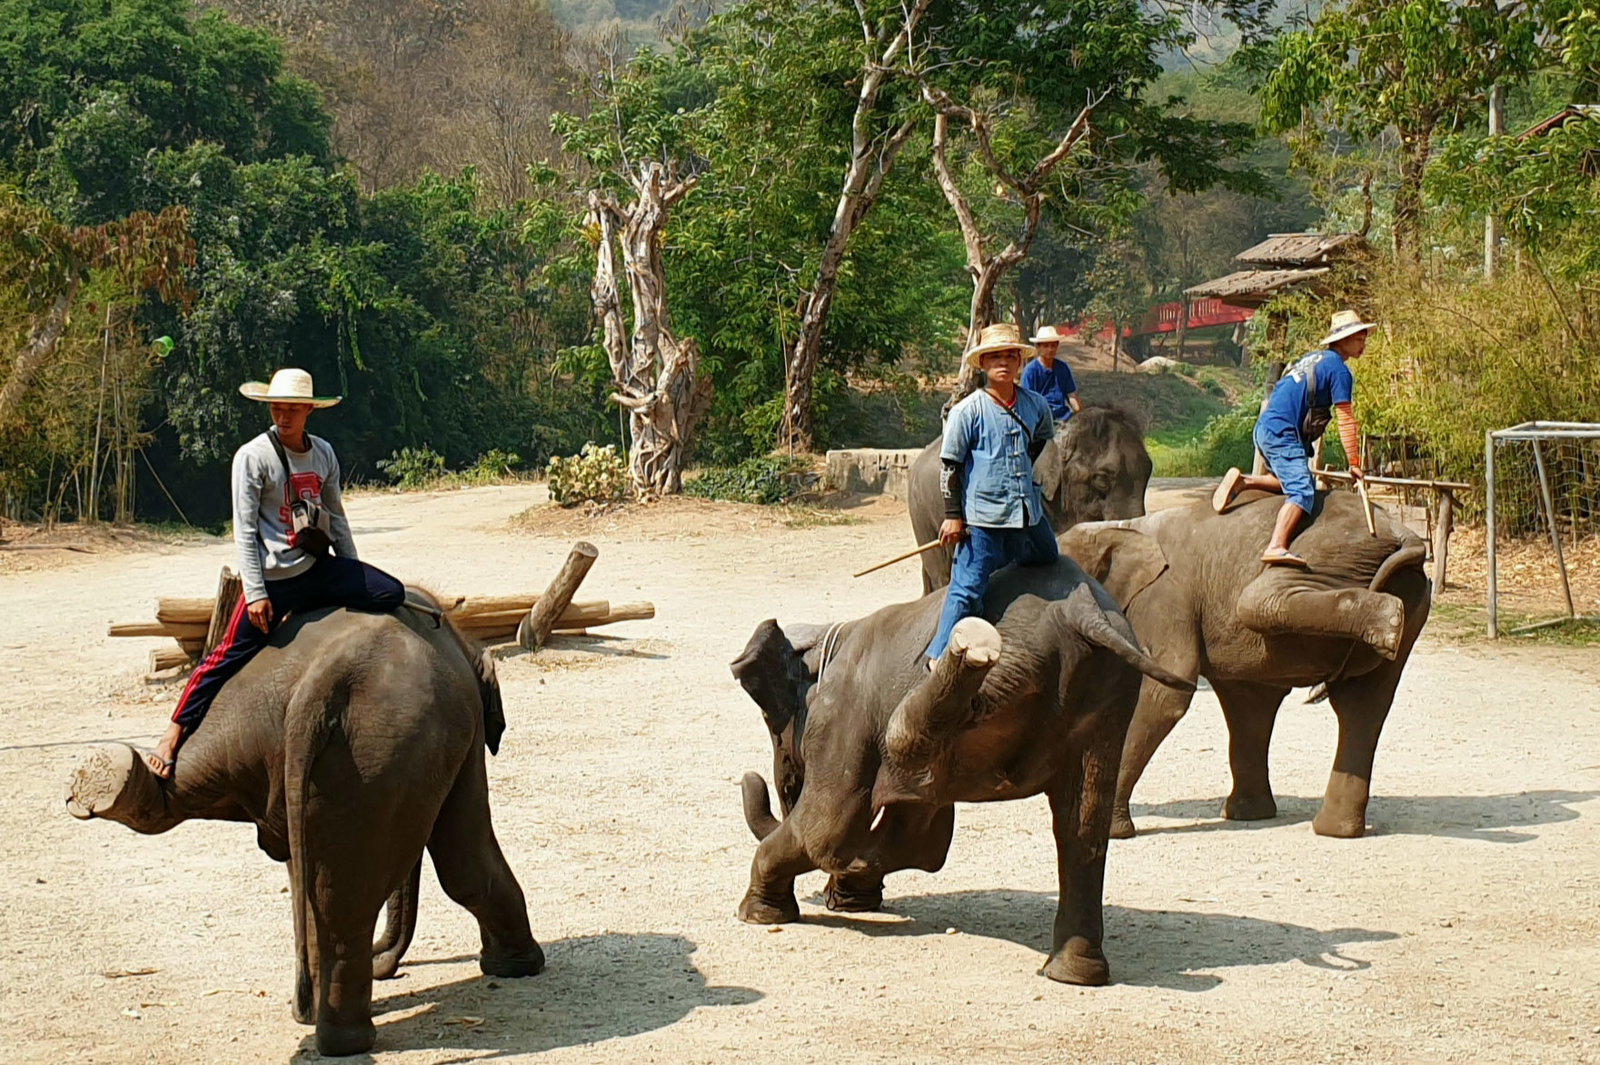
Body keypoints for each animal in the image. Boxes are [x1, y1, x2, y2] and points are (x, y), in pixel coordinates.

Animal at [65, 598, 540, 1055]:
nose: (387, 969)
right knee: (351, 895)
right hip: (377, 748)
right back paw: (346, 1038)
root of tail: (325, 680)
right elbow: (463, 863)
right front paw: (519, 967)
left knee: (329, 891)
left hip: (263, 724)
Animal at [732, 559, 1196, 985]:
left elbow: (828, 832)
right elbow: (919, 839)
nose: (753, 777)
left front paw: (758, 915)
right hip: (1108, 696)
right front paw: (850, 896)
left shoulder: (840, 718)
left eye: (773, 724)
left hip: (1018, 664)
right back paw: (1073, 975)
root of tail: (1084, 609)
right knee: (1080, 827)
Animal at [1062, 489, 1440, 837]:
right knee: (1362, 706)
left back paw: (1387, 621)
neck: (1121, 530)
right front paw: (1248, 815)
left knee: (1264, 600)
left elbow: (1164, 695)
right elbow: (1248, 701)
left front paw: (1112, 833)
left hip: (1331, 555)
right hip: (1406, 592)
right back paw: (1336, 831)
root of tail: (1401, 532)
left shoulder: (1168, 599)